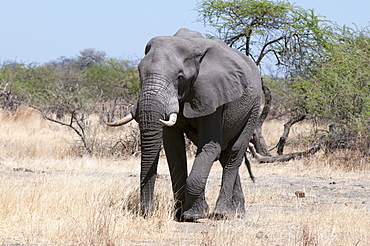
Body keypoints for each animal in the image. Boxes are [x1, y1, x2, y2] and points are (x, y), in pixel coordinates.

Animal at [108, 28, 262, 221]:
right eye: (139, 73)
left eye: (180, 77)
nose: (147, 213)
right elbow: (174, 148)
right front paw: (180, 214)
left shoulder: (211, 93)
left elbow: (210, 146)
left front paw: (192, 215)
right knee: (224, 154)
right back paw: (237, 212)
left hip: (254, 107)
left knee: (234, 151)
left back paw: (222, 213)